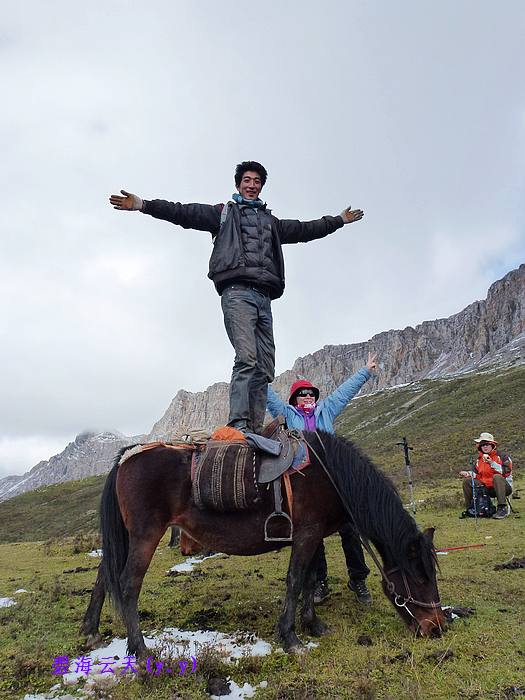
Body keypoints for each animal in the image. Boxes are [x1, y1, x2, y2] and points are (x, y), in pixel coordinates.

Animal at [81, 432, 442, 656]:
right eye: (420, 577)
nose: (436, 628)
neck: (331, 475)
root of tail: (128, 456)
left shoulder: (312, 535)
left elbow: (310, 580)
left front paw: (314, 625)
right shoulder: (307, 534)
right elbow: (295, 580)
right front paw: (291, 637)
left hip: (128, 536)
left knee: (104, 575)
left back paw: (91, 630)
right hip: (146, 534)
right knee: (128, 583)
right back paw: (140, 649)